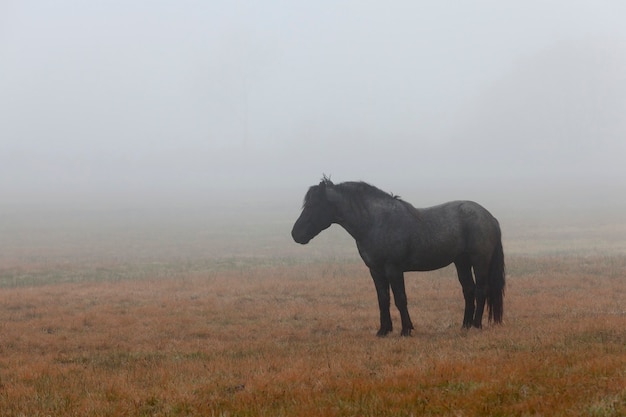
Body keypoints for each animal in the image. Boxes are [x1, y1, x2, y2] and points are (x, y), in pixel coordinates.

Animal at [292, 177, 502, 336]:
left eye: (313, 205)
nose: (295, 234)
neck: (375, 222)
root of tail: (489, 216)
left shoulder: (393, 270)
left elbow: (400, 298)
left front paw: (406, 330)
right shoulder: (375, 271)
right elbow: (383, 299)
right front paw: (383, 330)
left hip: (479, 261)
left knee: (481, 290)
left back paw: (476, 325)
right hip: (461, 262)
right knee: (468, 290)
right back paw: (465, 325)